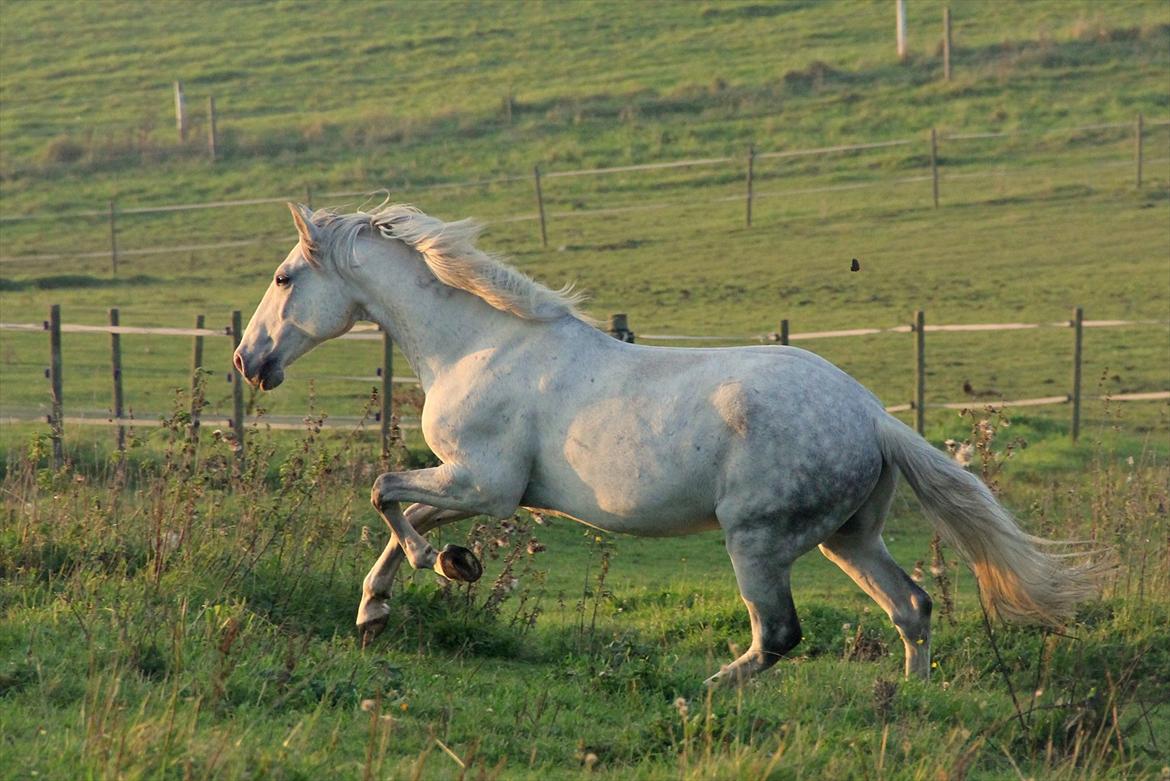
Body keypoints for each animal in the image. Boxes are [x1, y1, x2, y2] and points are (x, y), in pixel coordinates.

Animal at [234, 203, 1103, 685]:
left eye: (282, 278)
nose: (248, 360)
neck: (478, 342)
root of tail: (872, 413)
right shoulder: (482, 484)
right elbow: (401, 509)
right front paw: (391, 599)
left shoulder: (483, 481)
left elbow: (385, 491)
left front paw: (436, 566)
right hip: (849, 539)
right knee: (913, 606)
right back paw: (915, 700)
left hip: (758, 543)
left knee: (780, 635)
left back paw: (705, 691)